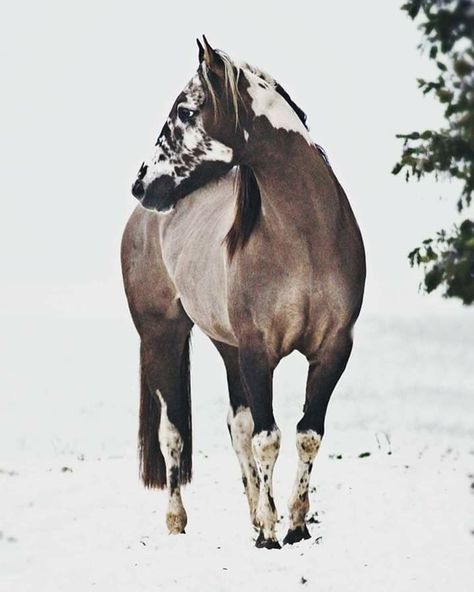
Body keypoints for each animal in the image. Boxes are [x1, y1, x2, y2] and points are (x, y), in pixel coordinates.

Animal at [122, 37, 366, 552]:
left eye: (185, 111)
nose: (140, 183)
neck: (305, 238)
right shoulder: (259, 351)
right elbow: (267, 437)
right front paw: (271, 532)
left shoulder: (333, 350)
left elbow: (306, 435)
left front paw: (292, 524)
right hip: (162, 336)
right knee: (173, 432)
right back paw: (177, 518)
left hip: (227, 347)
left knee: (237, 426)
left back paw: (253, 515)